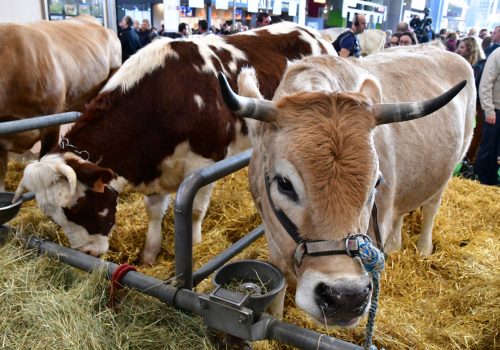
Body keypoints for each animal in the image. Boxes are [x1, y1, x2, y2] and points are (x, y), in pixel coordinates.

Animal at [13, 21, 336, 262]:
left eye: (76, 208)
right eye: (52, 216)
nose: (88, 253)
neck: (165, 98)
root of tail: (315, 34)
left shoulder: (204, 162)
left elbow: (193, 209)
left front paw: (194, 244)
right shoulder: (155, 165)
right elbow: (154, 211)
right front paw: (150, 252)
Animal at [221, 44, 474, 328]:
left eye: (376, 182)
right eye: (284, 184)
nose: (345, 297)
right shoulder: (272, 234)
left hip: (451, 166)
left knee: (431, 207)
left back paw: (423, 250)